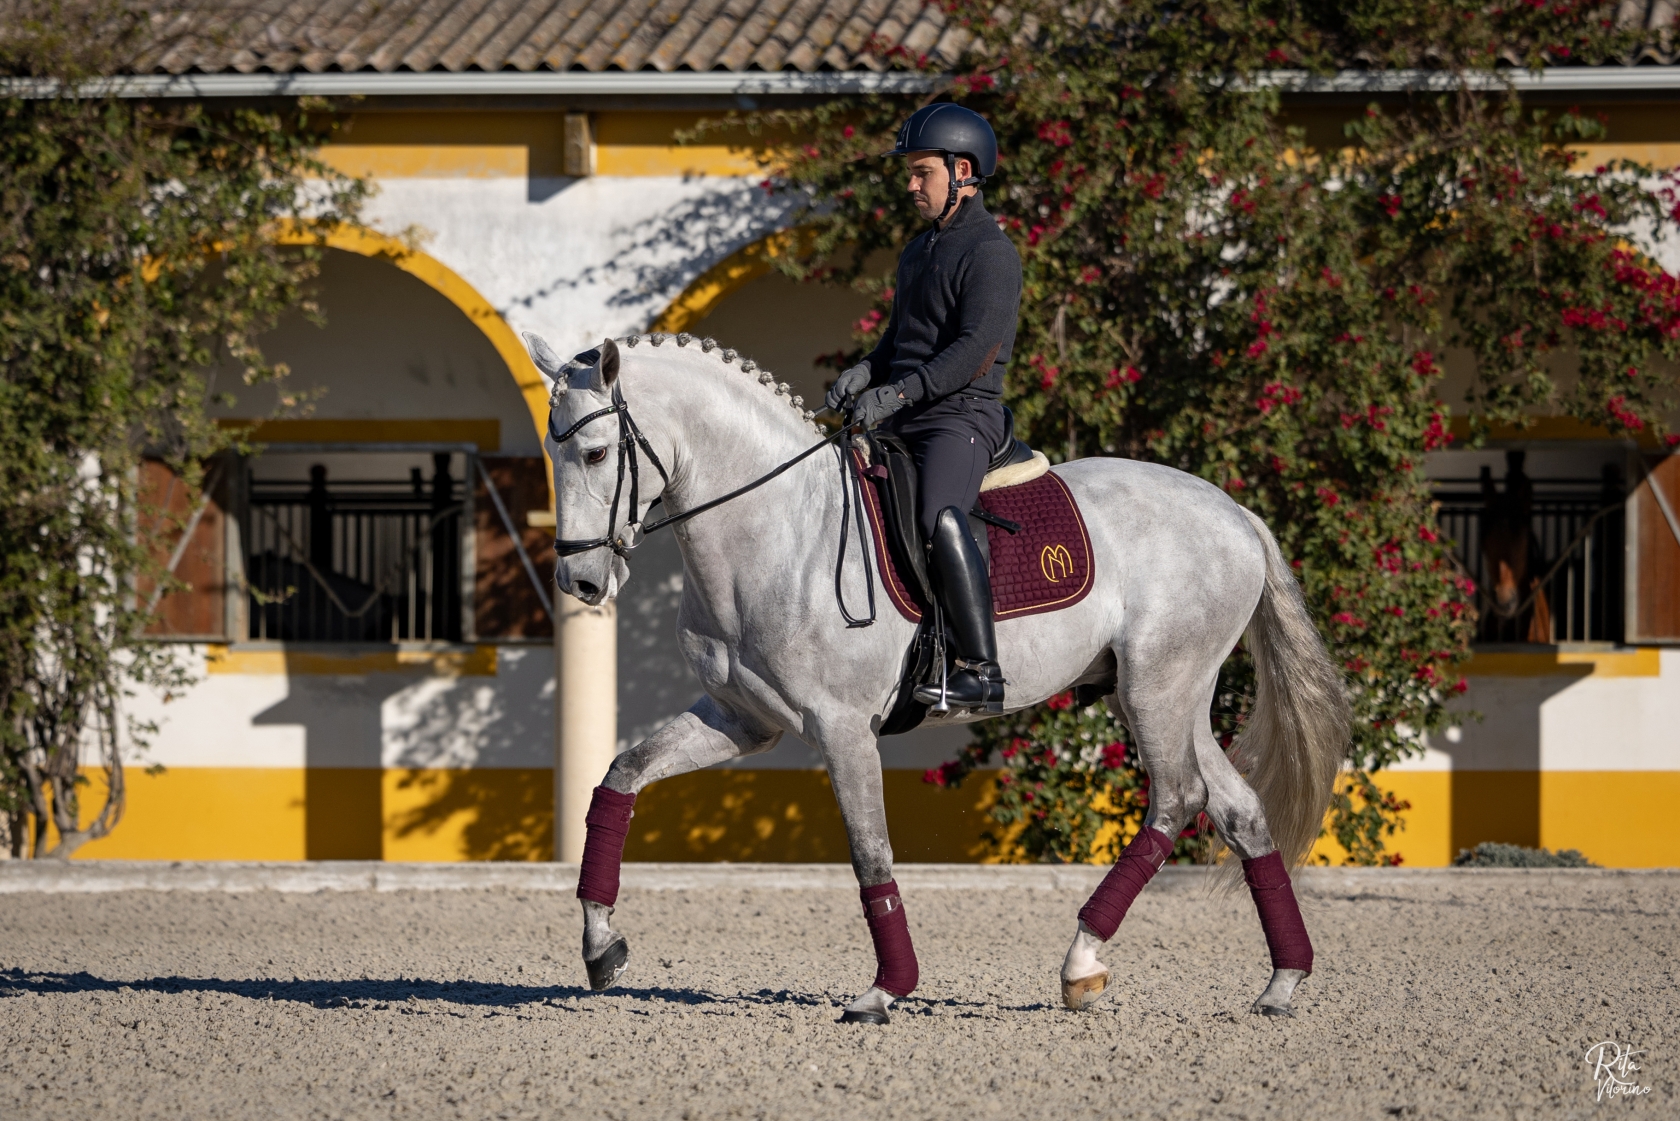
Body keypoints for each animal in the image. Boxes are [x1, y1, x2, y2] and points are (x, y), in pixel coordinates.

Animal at [524, 330, 1349, 1023]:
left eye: (595, 454)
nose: (581, 582)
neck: (778, 527)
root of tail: (1232, 511)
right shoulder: (742, 719)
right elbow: (620, 777)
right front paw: (600, 945)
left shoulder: (842, 728)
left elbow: (871, 856)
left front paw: (886, 989)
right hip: (1169, 694)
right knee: (1238, 810)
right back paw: (1282, 982)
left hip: (1156, 687)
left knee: (1177, 800)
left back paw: (1081, 961)